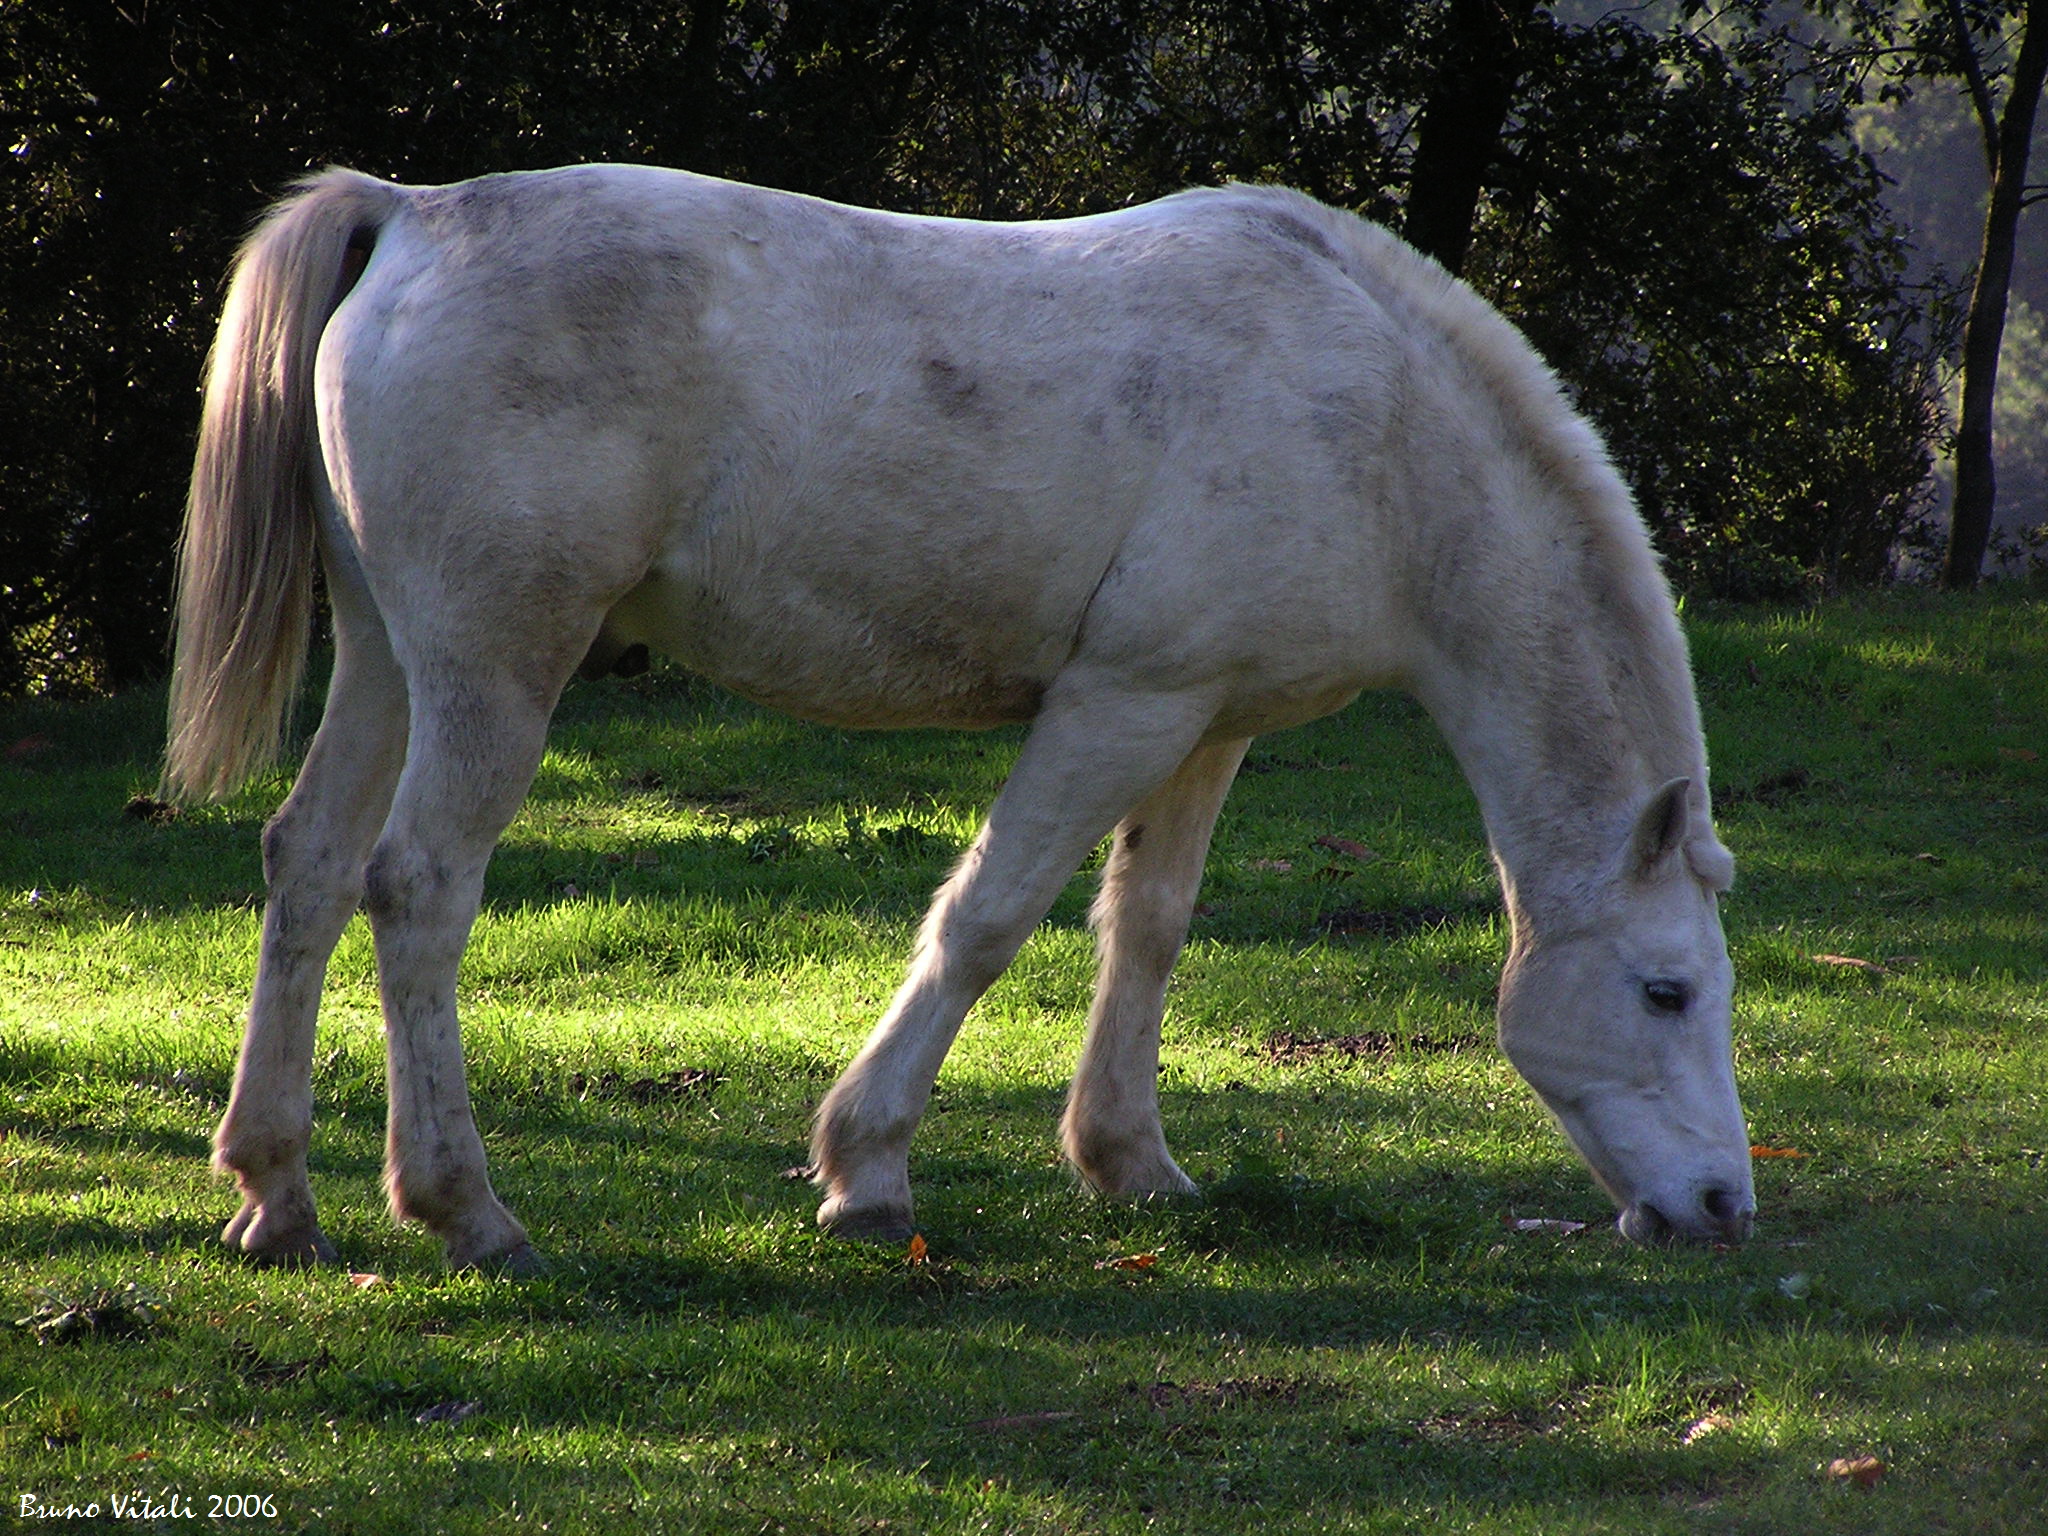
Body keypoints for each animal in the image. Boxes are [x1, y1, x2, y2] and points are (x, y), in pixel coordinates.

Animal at [165, 164, 1755, 1271]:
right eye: (1666, 991)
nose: (1722, 1206)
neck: (1382, 438)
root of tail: (414, 218)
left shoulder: (1209, 720)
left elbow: (1147, 926)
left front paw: (1128, 1162)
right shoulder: (1120, 705)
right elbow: (988, 918)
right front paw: (866, 1171)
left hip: (389, 661)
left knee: (310, 865)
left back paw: (276, 1194)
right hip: (495, 672)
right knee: (418, 891)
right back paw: (466, 1211)